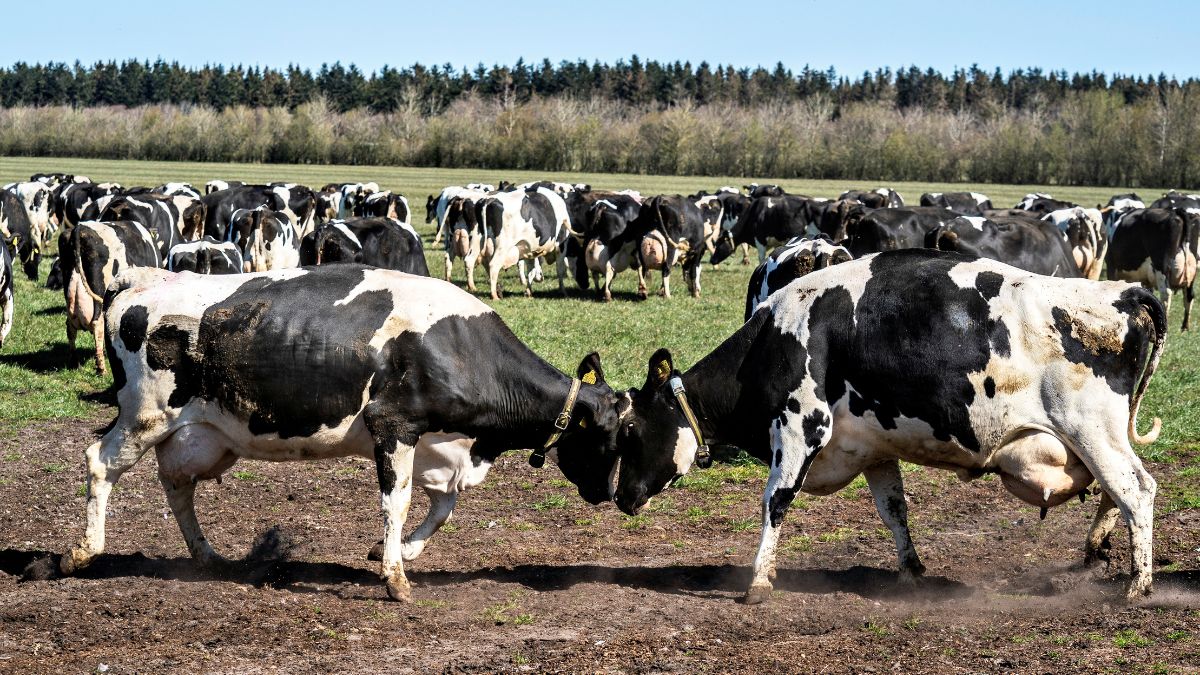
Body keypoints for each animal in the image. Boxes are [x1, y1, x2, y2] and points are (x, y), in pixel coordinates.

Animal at [59, 264, 623, 603]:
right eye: (615, 436)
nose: (617, 495)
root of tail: (143, 279)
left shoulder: (439, 446)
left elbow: (442, 508)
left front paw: (397, 553)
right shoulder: (393, 425)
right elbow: (397, 502)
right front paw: (395, 577)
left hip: (198, 435)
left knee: (177, 485)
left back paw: (206, 556)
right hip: (145, 416)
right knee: (99, 461)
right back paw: (84, 551)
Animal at [62, 220, 160, 373]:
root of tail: (80, 228)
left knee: (70, 327)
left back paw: (75, 363)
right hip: (99, 292)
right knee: (98, 324)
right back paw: (101, 368)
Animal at [611, 248, 1166, 604]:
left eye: (630, 432)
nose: (620, 497)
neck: (775, 341)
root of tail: (1122, 292)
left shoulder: (799, 427)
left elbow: (775, 503)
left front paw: (758, 583)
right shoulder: (873, 448)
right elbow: (894, 510)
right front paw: (911, 570)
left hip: (1090, 429)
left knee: (1135, 489)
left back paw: (1138, 585)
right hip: (1099, 436)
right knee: (1116, 492)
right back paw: (1099, 548)